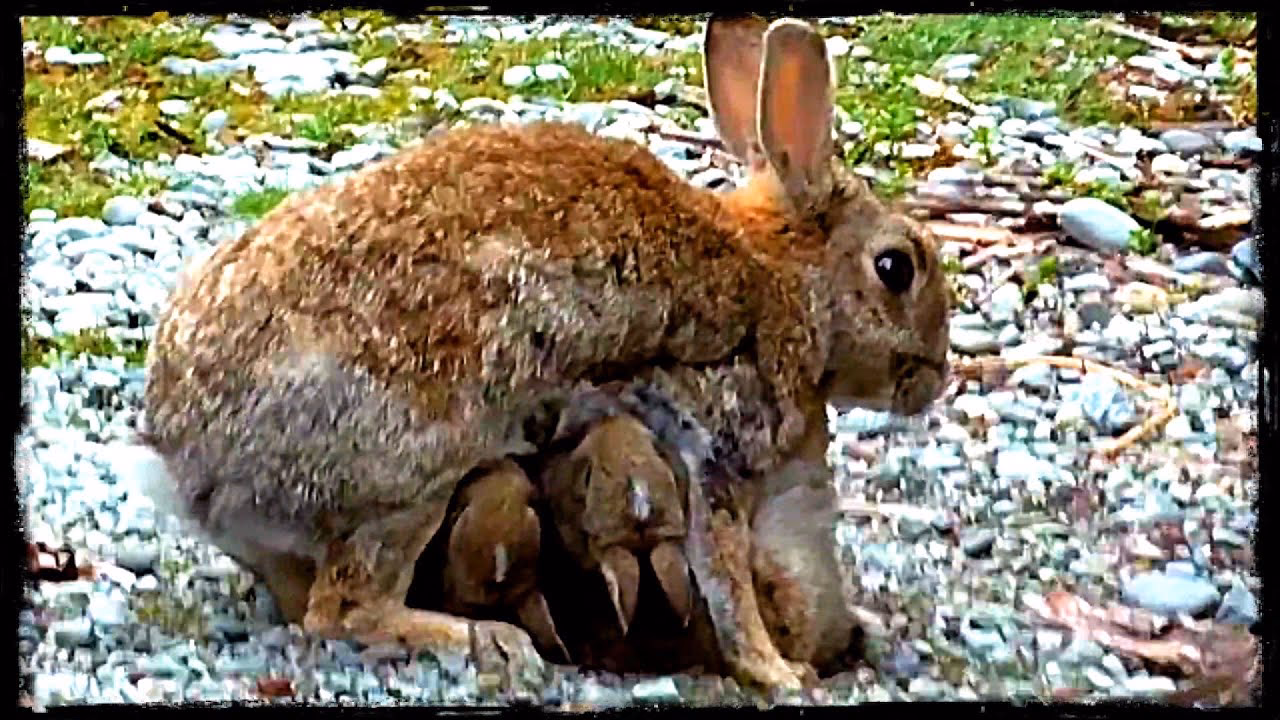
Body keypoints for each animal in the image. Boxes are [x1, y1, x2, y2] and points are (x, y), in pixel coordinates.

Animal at [137, 14, 949, 689]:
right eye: (895, 268)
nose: (934, 380)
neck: (783, 278)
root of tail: (187, 465)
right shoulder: (718, 442)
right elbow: (725, 578)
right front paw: (780, 673)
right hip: (412, 474)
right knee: (343, 609)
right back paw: (483, 640)